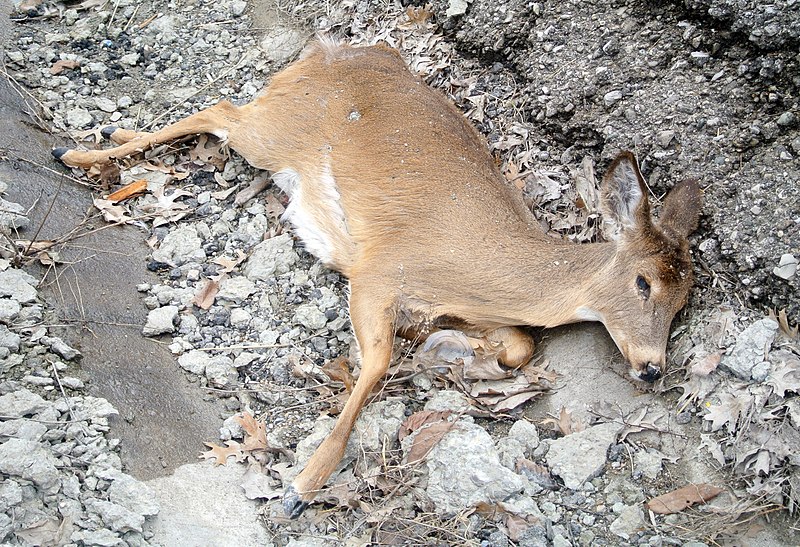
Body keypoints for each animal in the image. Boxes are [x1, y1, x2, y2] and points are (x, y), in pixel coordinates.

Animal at [51, 38, 700, 520]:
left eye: (685, 300)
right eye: (644, 283)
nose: (652, 368)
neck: (486, 270)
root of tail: (334, 48)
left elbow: (517, 345)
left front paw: (452, 347)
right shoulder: (378, 269)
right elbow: (379, 362)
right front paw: (301, 486)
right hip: (275, 130)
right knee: (220, 109)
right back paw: (78, 153)